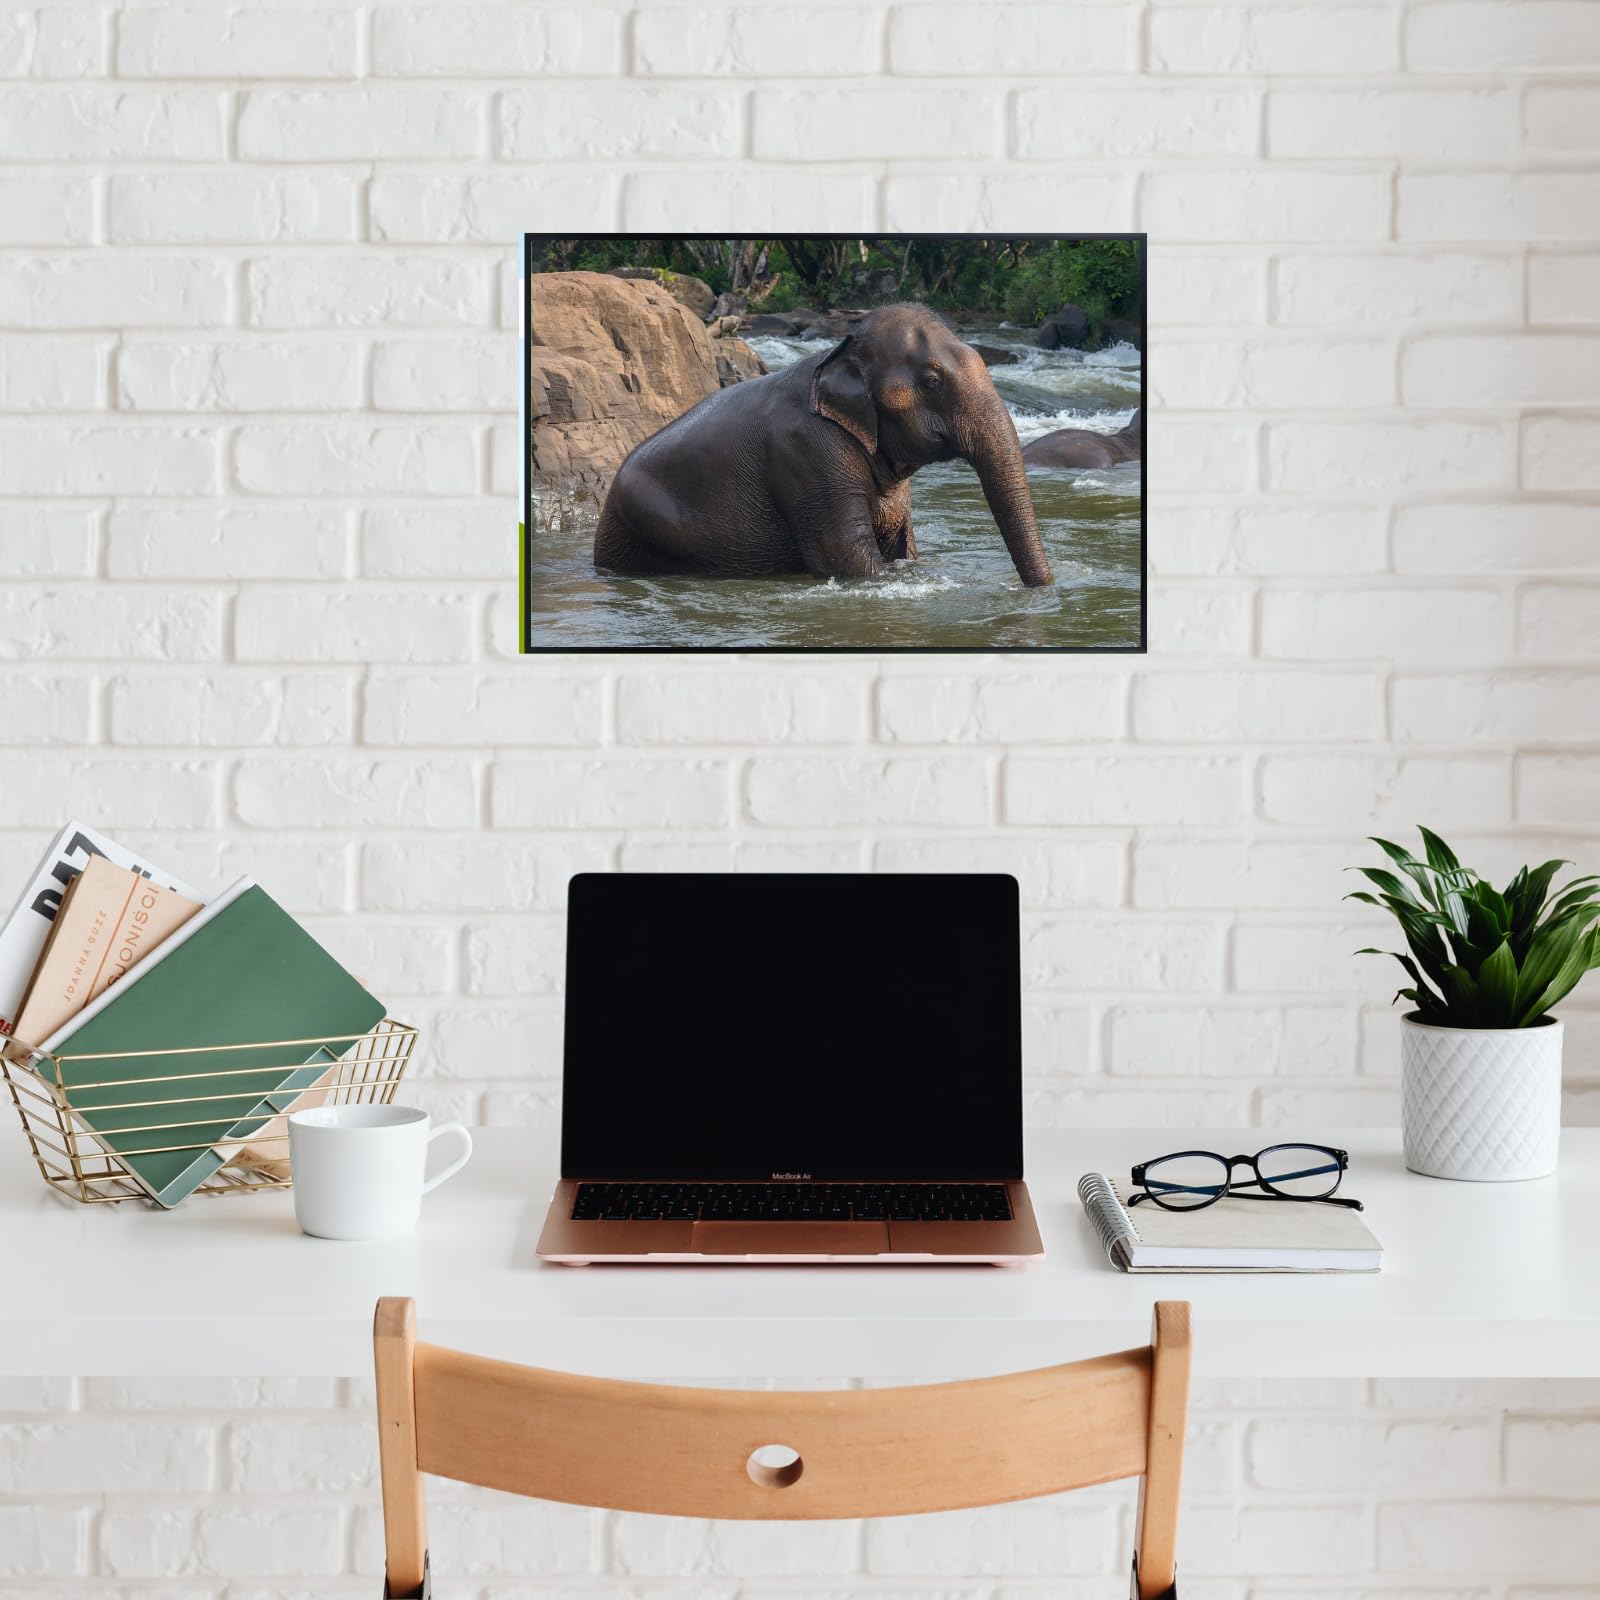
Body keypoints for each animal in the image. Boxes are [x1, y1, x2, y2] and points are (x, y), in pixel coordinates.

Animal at [593, 303, 1053, 587]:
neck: (838, 352)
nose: (1041, 590)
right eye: (931, 382)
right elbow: (849, 558)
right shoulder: (806, 452)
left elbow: (902, 546)